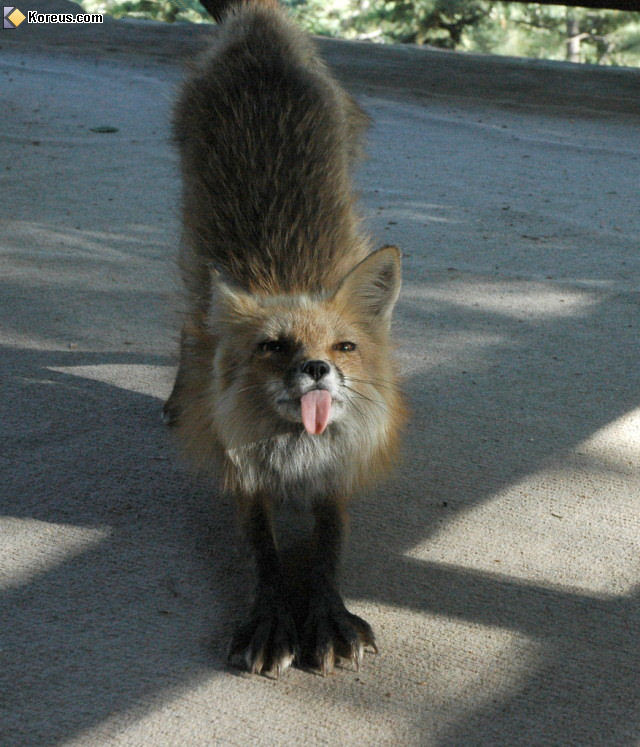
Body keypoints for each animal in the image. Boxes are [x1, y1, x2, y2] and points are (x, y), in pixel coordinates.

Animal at [165, 0, 406, 676]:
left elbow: (329, 543)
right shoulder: (237, 466)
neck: (295, 456)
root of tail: (258, 23)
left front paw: (325, 612)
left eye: (344, 347)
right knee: (189, 324)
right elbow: (262, 548)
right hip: (191, 239)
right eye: (273, 346)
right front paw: (273, 617)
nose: (318, 369)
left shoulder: (337, 474)